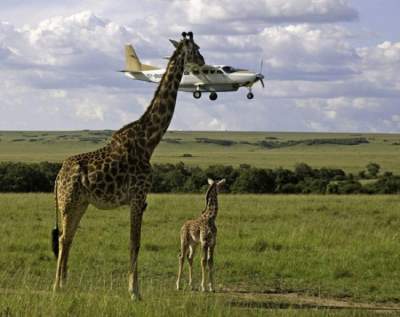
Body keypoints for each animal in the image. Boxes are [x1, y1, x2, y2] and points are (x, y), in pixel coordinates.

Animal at [50, 32, 205, 298]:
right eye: (195, 48)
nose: (203, 61)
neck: (149, 141)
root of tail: (58, 176)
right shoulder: (137, 196)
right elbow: (135, 243)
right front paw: (134, 291)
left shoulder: (140, 199)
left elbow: (135, 242)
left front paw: (134, 289)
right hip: (68, 202)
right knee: (62, 238)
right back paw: (56, 286)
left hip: (80, 203)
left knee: (67, 238)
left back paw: (65, 284)